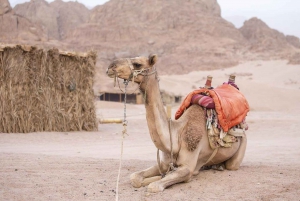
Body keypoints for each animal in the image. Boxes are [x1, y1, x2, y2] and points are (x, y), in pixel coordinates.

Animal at [106, 54, 247, 192]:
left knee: (231, 164)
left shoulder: (187, 167)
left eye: (137, 64)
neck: (176, 135)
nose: (110, 67)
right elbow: (135, 177)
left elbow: (154, 186)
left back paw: (219, 166)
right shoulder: (164, 163)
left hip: (240, 148)